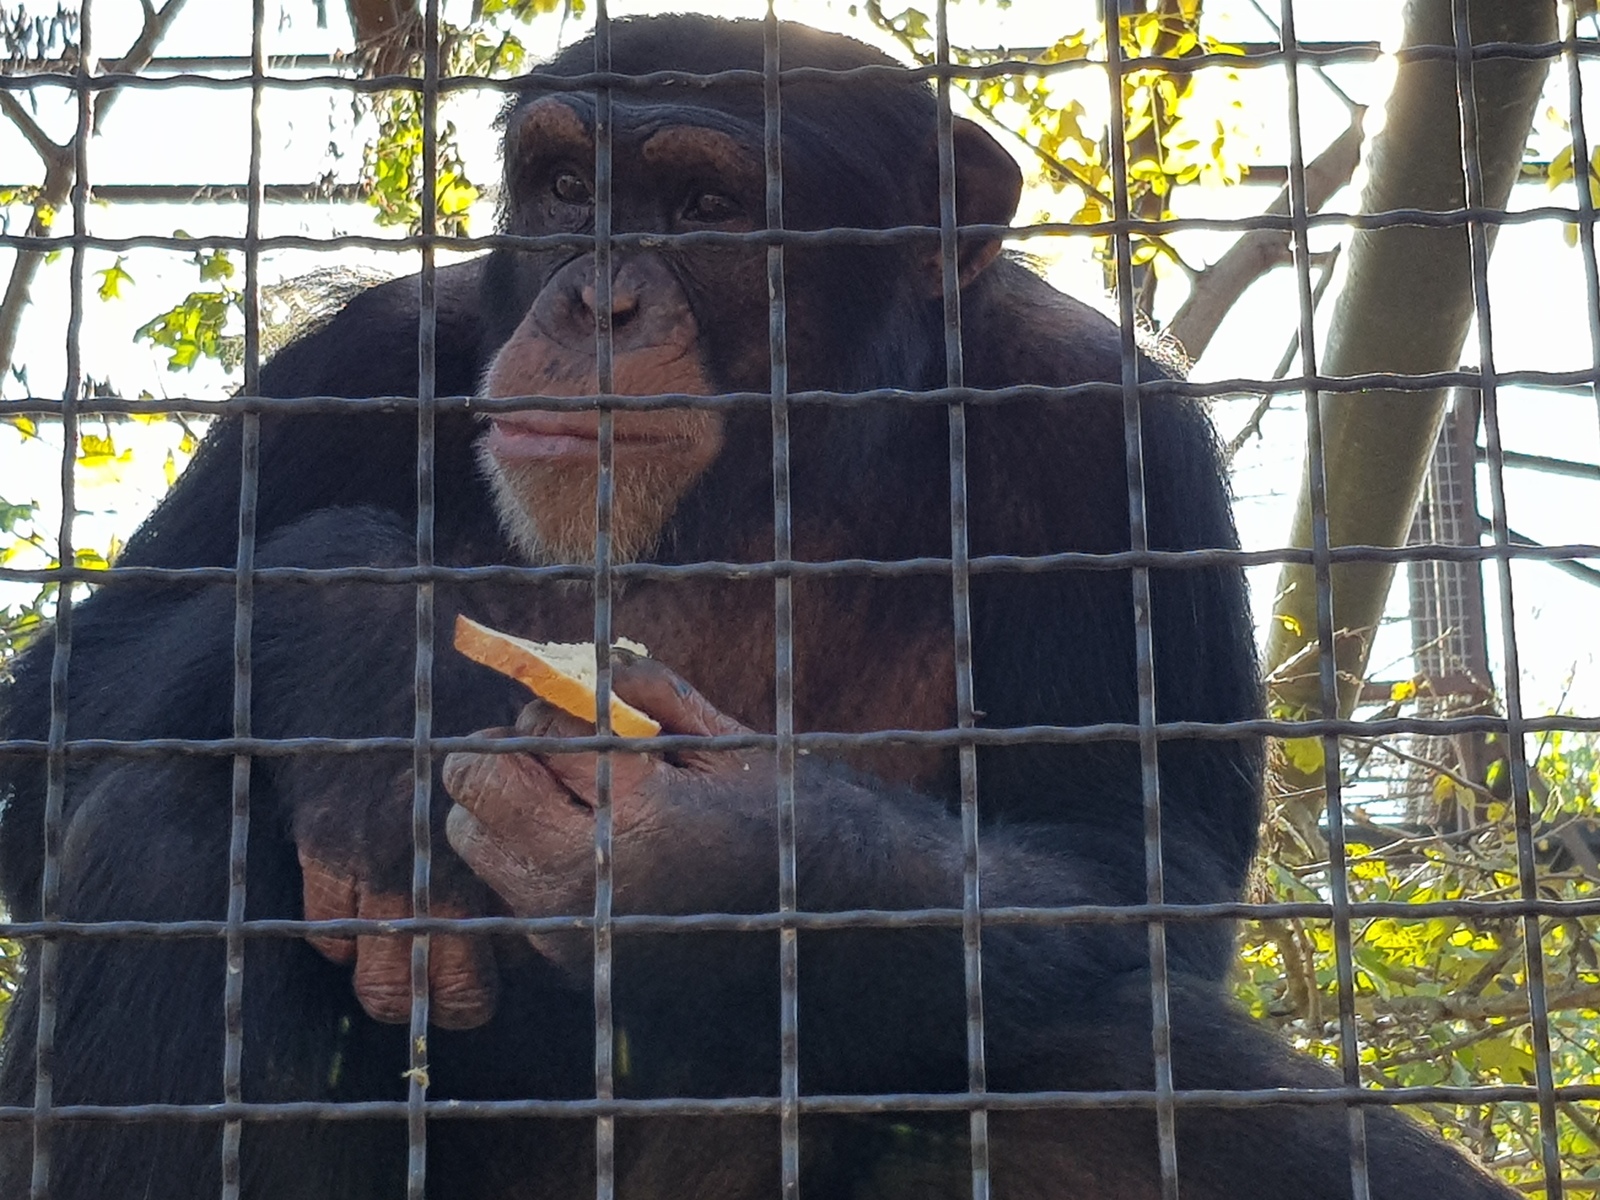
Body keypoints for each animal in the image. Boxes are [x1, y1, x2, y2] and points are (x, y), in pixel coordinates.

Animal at [0, 11, 1516, 1200]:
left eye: (707, 212)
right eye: (565, 185)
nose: (592, 302)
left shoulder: (1110, 433)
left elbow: (1135, 867)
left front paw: (702, 854)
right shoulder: (357, 367)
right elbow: (46, 723)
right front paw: (370, 657)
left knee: (1122, 1057)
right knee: (165, 836)